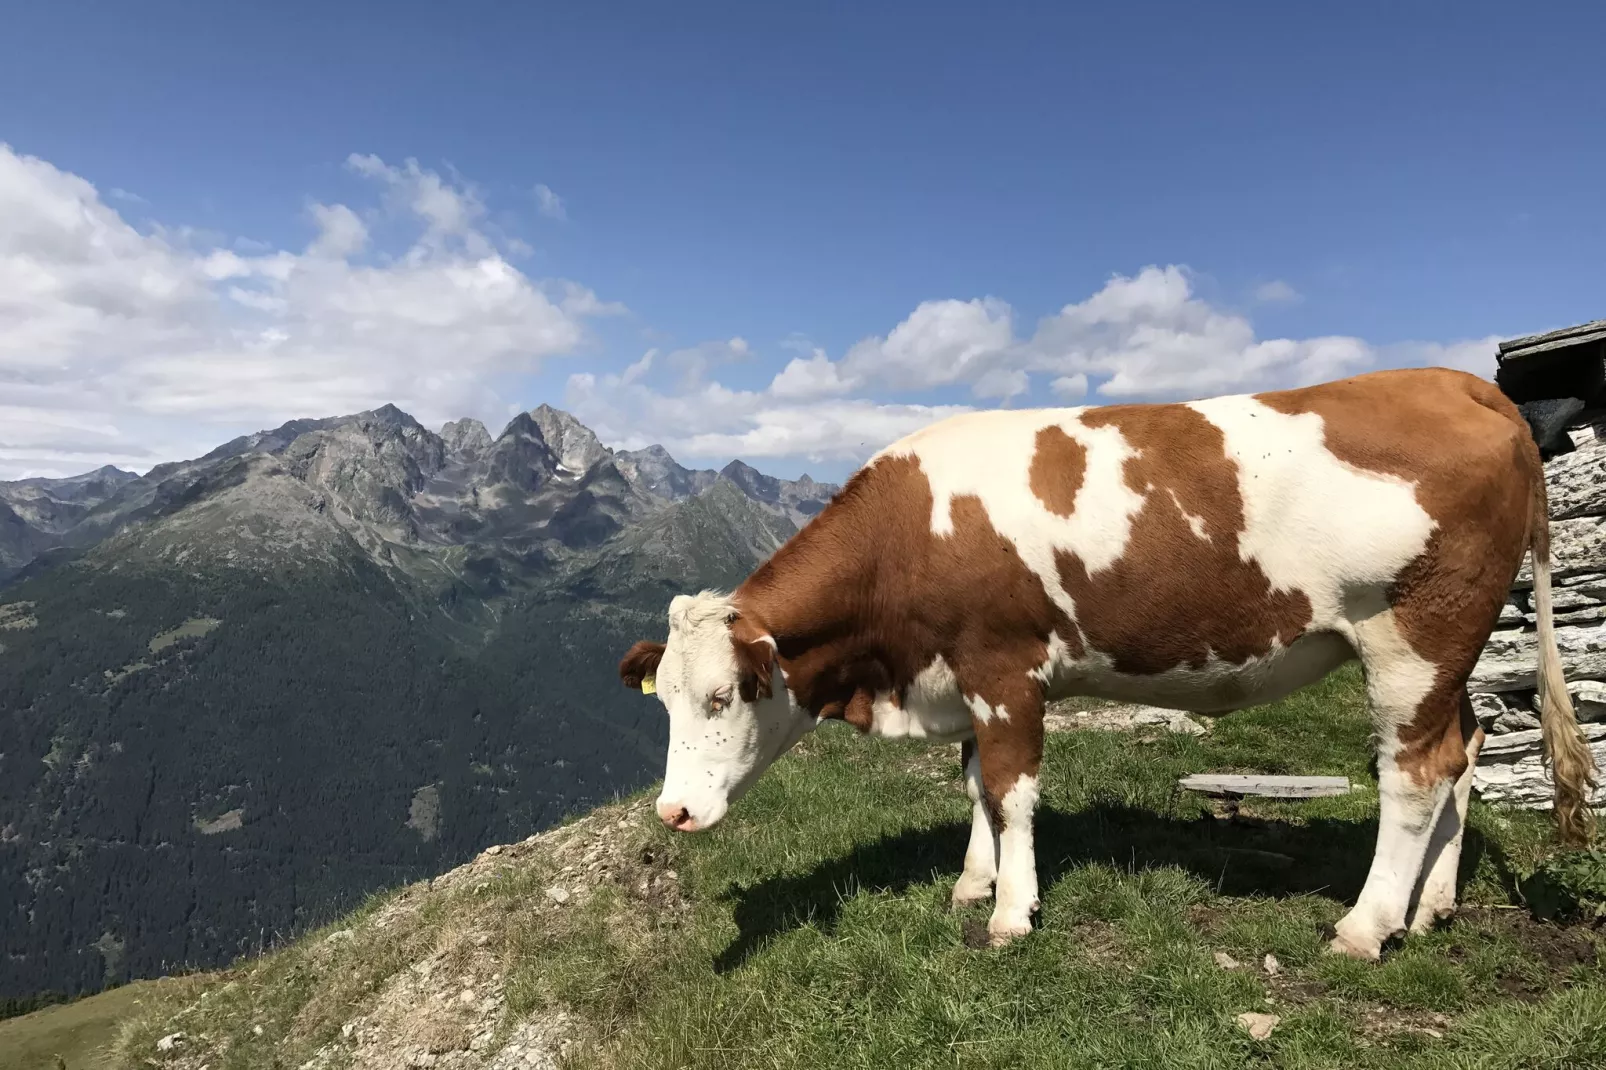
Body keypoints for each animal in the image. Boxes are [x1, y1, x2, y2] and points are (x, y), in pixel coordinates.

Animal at [610, 366, 1593, 957]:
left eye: (726, 695)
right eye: (663, 702)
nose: (673, 812)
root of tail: (1457, 381)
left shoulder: (1004, 669)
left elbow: (1010, 790)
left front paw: (1011, 912)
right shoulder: (967, 680)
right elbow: (976, 783)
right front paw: (976, 880)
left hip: (1413, 635)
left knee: (1417, 773)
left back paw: (1367, 923)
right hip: (1451, 651)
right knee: (1465, 751)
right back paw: (1432, 907)